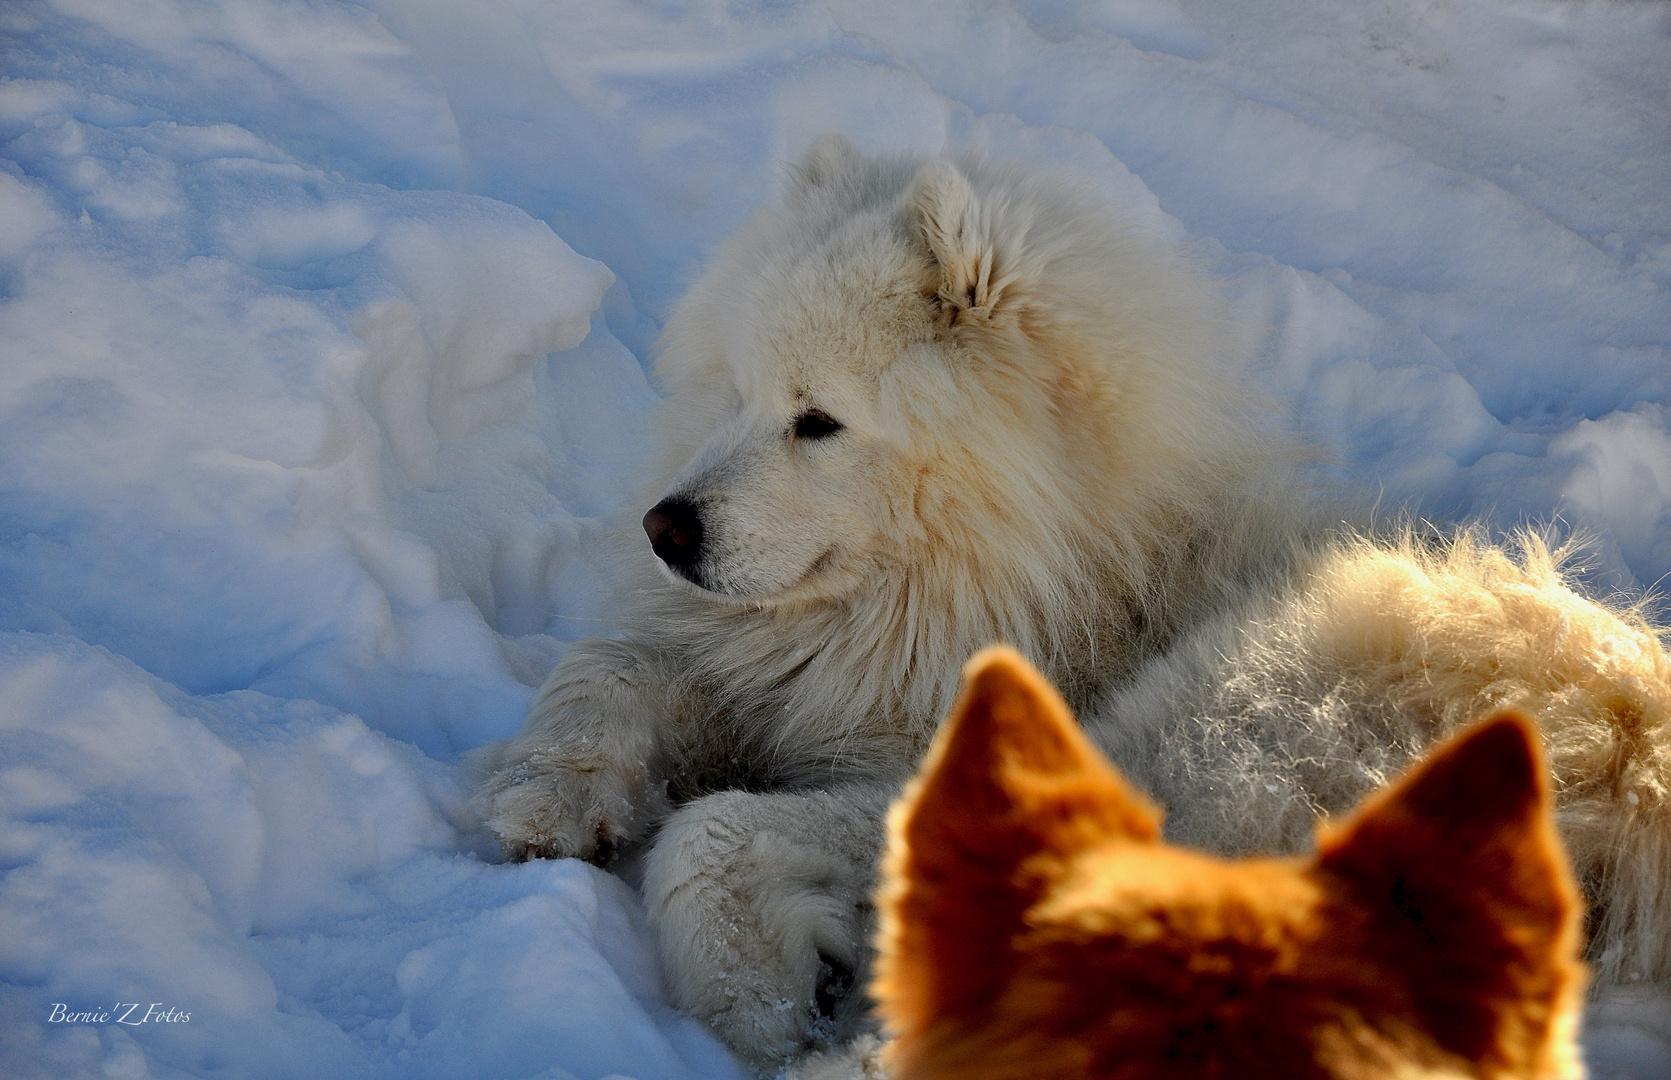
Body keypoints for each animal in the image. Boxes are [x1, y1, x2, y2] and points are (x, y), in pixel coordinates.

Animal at [474, 137, 1671, 1076]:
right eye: (738, 394)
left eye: (818, 421)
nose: (663, 529)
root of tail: (1629, 760)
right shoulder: (784, 681)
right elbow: (613, 666)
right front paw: (545, 797)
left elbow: (709, 829)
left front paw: (755, 1002)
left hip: (1217, 726)